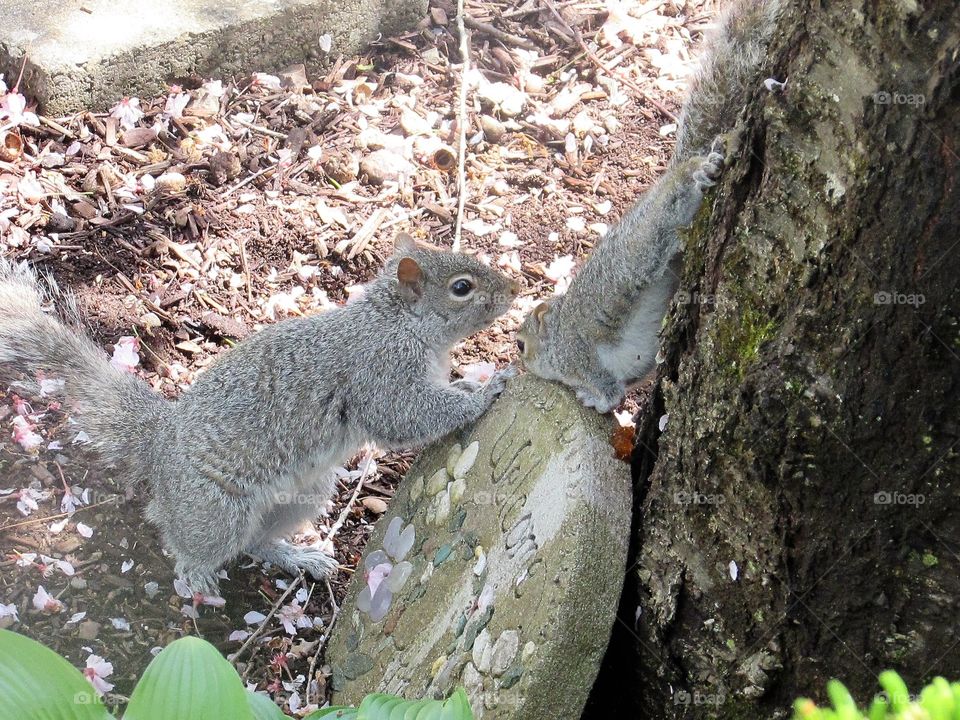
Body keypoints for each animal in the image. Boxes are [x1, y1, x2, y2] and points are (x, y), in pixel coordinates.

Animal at [0, 233, 516, 592]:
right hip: (213, 509)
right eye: (462, 287)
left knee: (255, 542)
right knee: (182, 535)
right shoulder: (380, 370)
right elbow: (405, 416)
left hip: (303, 493)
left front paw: (470, 382)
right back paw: (195, 573)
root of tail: (159, 445)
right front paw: (486, 390)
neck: (397, 321)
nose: (514, 289)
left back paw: (299, 558)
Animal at [516, 0, 780, 410]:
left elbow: (604, 383)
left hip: (659, 222)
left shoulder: (577, 355)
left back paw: (698, 174)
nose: (520, 361)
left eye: (521, 344)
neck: (557, 332)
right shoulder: (633, 366)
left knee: (677, 199)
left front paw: (598, 400)